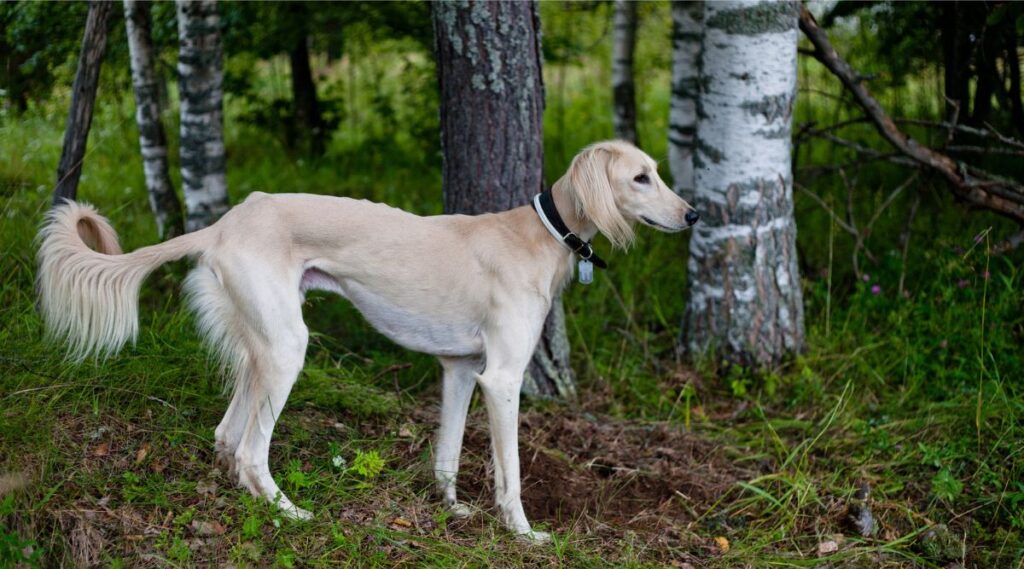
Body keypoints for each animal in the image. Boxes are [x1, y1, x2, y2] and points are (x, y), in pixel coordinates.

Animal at [37, 140, 696, 540]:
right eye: (640, 178)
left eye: (659, 172)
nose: (692, 215)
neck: (541, 234)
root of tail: (224, 223)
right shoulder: (502, 378)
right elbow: (509, 474)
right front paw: (524, 533)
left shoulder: (461, 369)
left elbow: (446, 453)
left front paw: (452, 510)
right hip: (287, 348)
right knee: (251, 450)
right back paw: (290, 513)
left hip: (263, 343)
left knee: (227, 436)